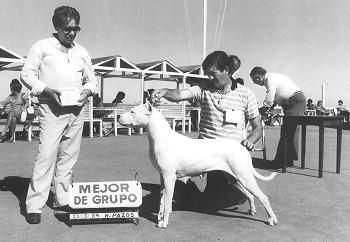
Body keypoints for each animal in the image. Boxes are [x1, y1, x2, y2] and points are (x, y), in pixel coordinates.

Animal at [119, 103, 278, 228]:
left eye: (132, 111)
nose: (119, 116)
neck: (160, 138)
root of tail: (242, 147)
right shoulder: (162, 178)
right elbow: (162, 201)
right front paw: (159, 218)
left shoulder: (169, 178)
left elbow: (168, 202)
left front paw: (164, 222)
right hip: (234, 178)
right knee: (250, 194)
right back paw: (252, 210)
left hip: (244, 176)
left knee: (263, 197)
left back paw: (272, 219)